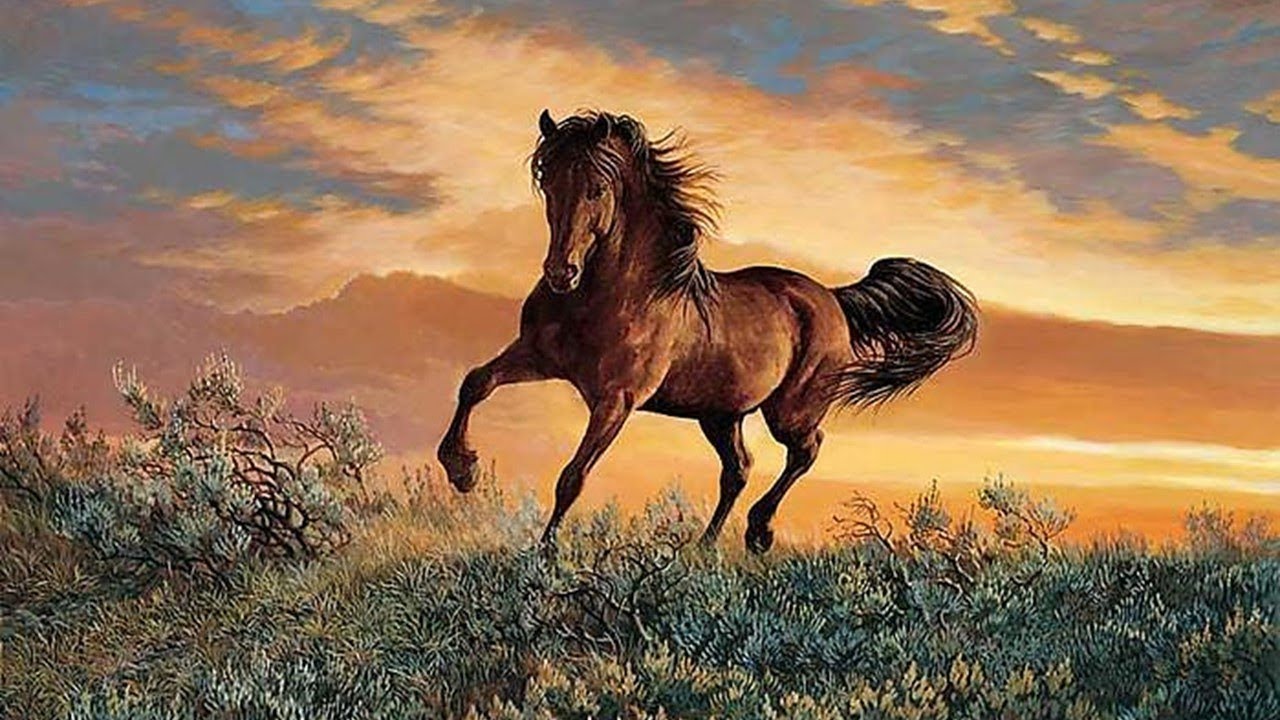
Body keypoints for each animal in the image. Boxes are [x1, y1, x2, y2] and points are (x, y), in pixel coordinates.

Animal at [437, 109, 978, 553]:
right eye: (548, 182)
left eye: (597, 189)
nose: (560, 273)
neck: (611, 293)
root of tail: (831, 297)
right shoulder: (537, 355)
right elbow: (475, 382)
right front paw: (462, 469)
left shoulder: (616, 398)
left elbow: (573, 476)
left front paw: (544, 555)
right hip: (720, 414)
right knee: (738, 469)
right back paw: (706, 545)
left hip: (789, 410)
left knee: (806, 449)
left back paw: (759, 532)